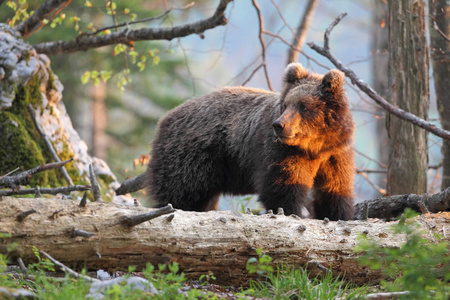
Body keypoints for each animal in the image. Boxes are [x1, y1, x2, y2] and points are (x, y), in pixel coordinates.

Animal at [147, 62, 356, 220]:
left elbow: (335, 190)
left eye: (304, 106)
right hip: (192, 159)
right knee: (182, 195)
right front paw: (293, 213)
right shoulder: (280, 152)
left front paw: (338, 215)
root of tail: (163, 120)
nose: (279, 125)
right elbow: (283, 188)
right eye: (286, 104)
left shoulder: (336, 155)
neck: (315, 147)